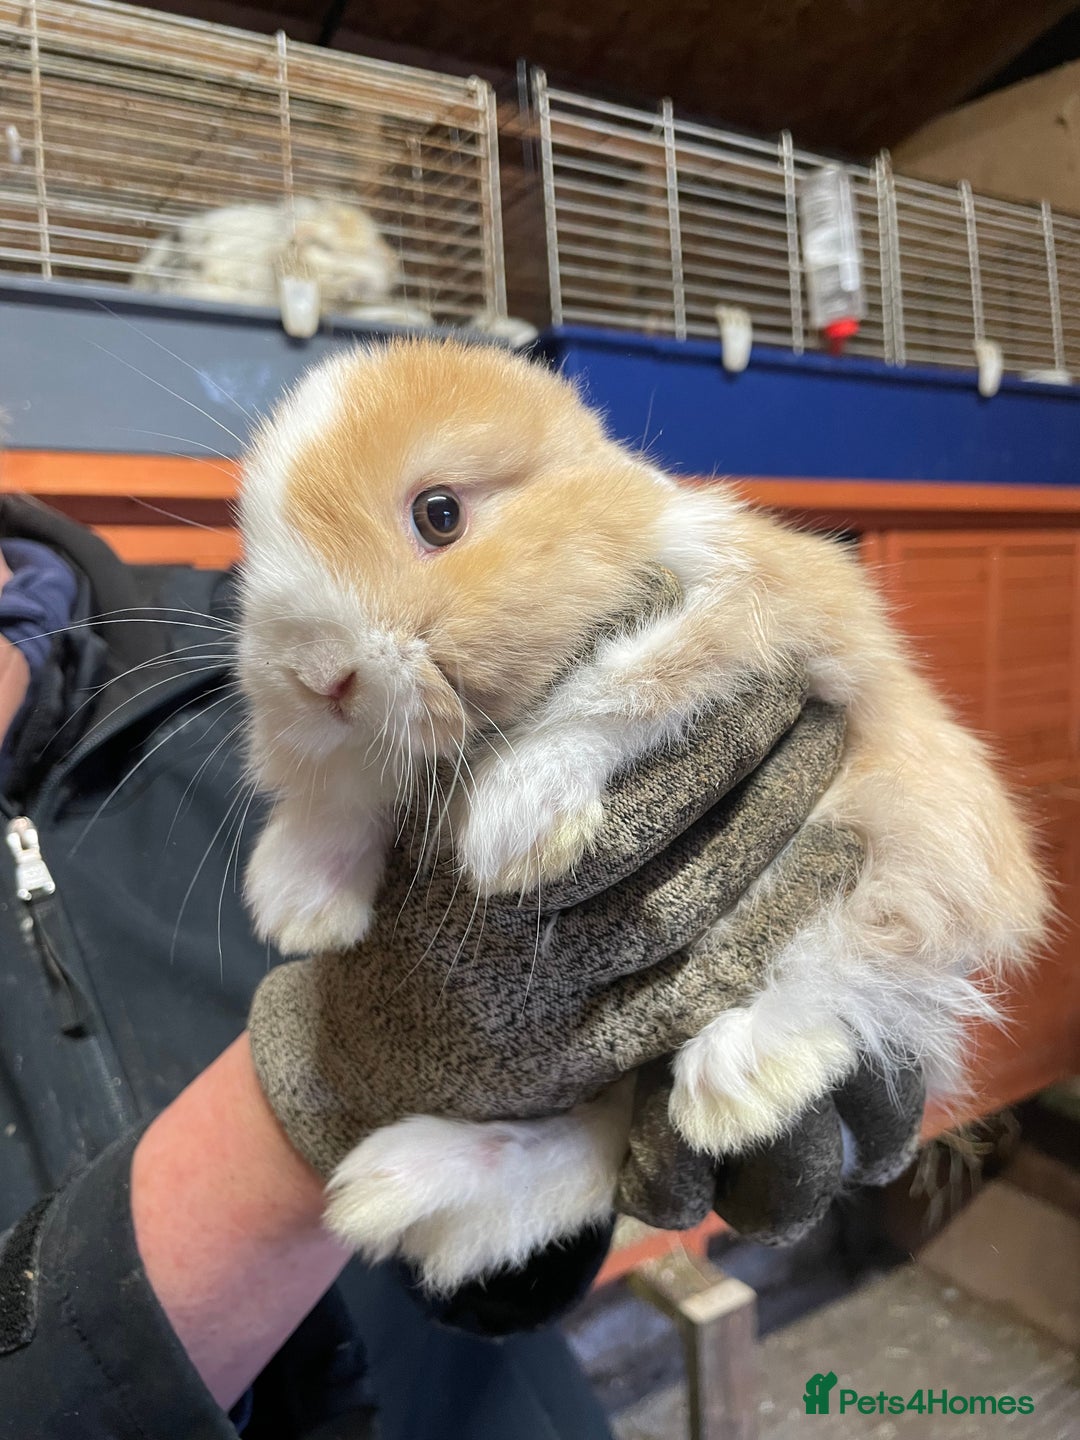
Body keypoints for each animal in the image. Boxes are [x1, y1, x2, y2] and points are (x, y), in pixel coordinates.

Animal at [237, 337, 1049, 1286]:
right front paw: (297, 902)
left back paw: (735, 1083)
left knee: (856, 960)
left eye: (439, 514)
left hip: (907, 837)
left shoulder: (754, 611)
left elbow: (625, 684)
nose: (315, 676)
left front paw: (512, 827)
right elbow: (348, 784)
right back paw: (388, 1184)